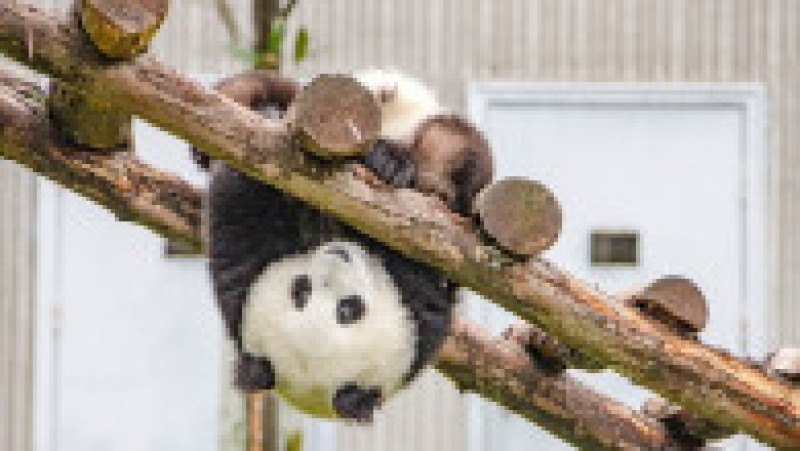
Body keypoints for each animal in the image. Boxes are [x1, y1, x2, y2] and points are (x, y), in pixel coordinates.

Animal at [195, 69, 494, 422]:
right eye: (301, 290)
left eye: (348, 310)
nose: (338, 256)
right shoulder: (242, 278)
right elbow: (241, 205)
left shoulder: (423, 309)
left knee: (452, 142)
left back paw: (397, 161)